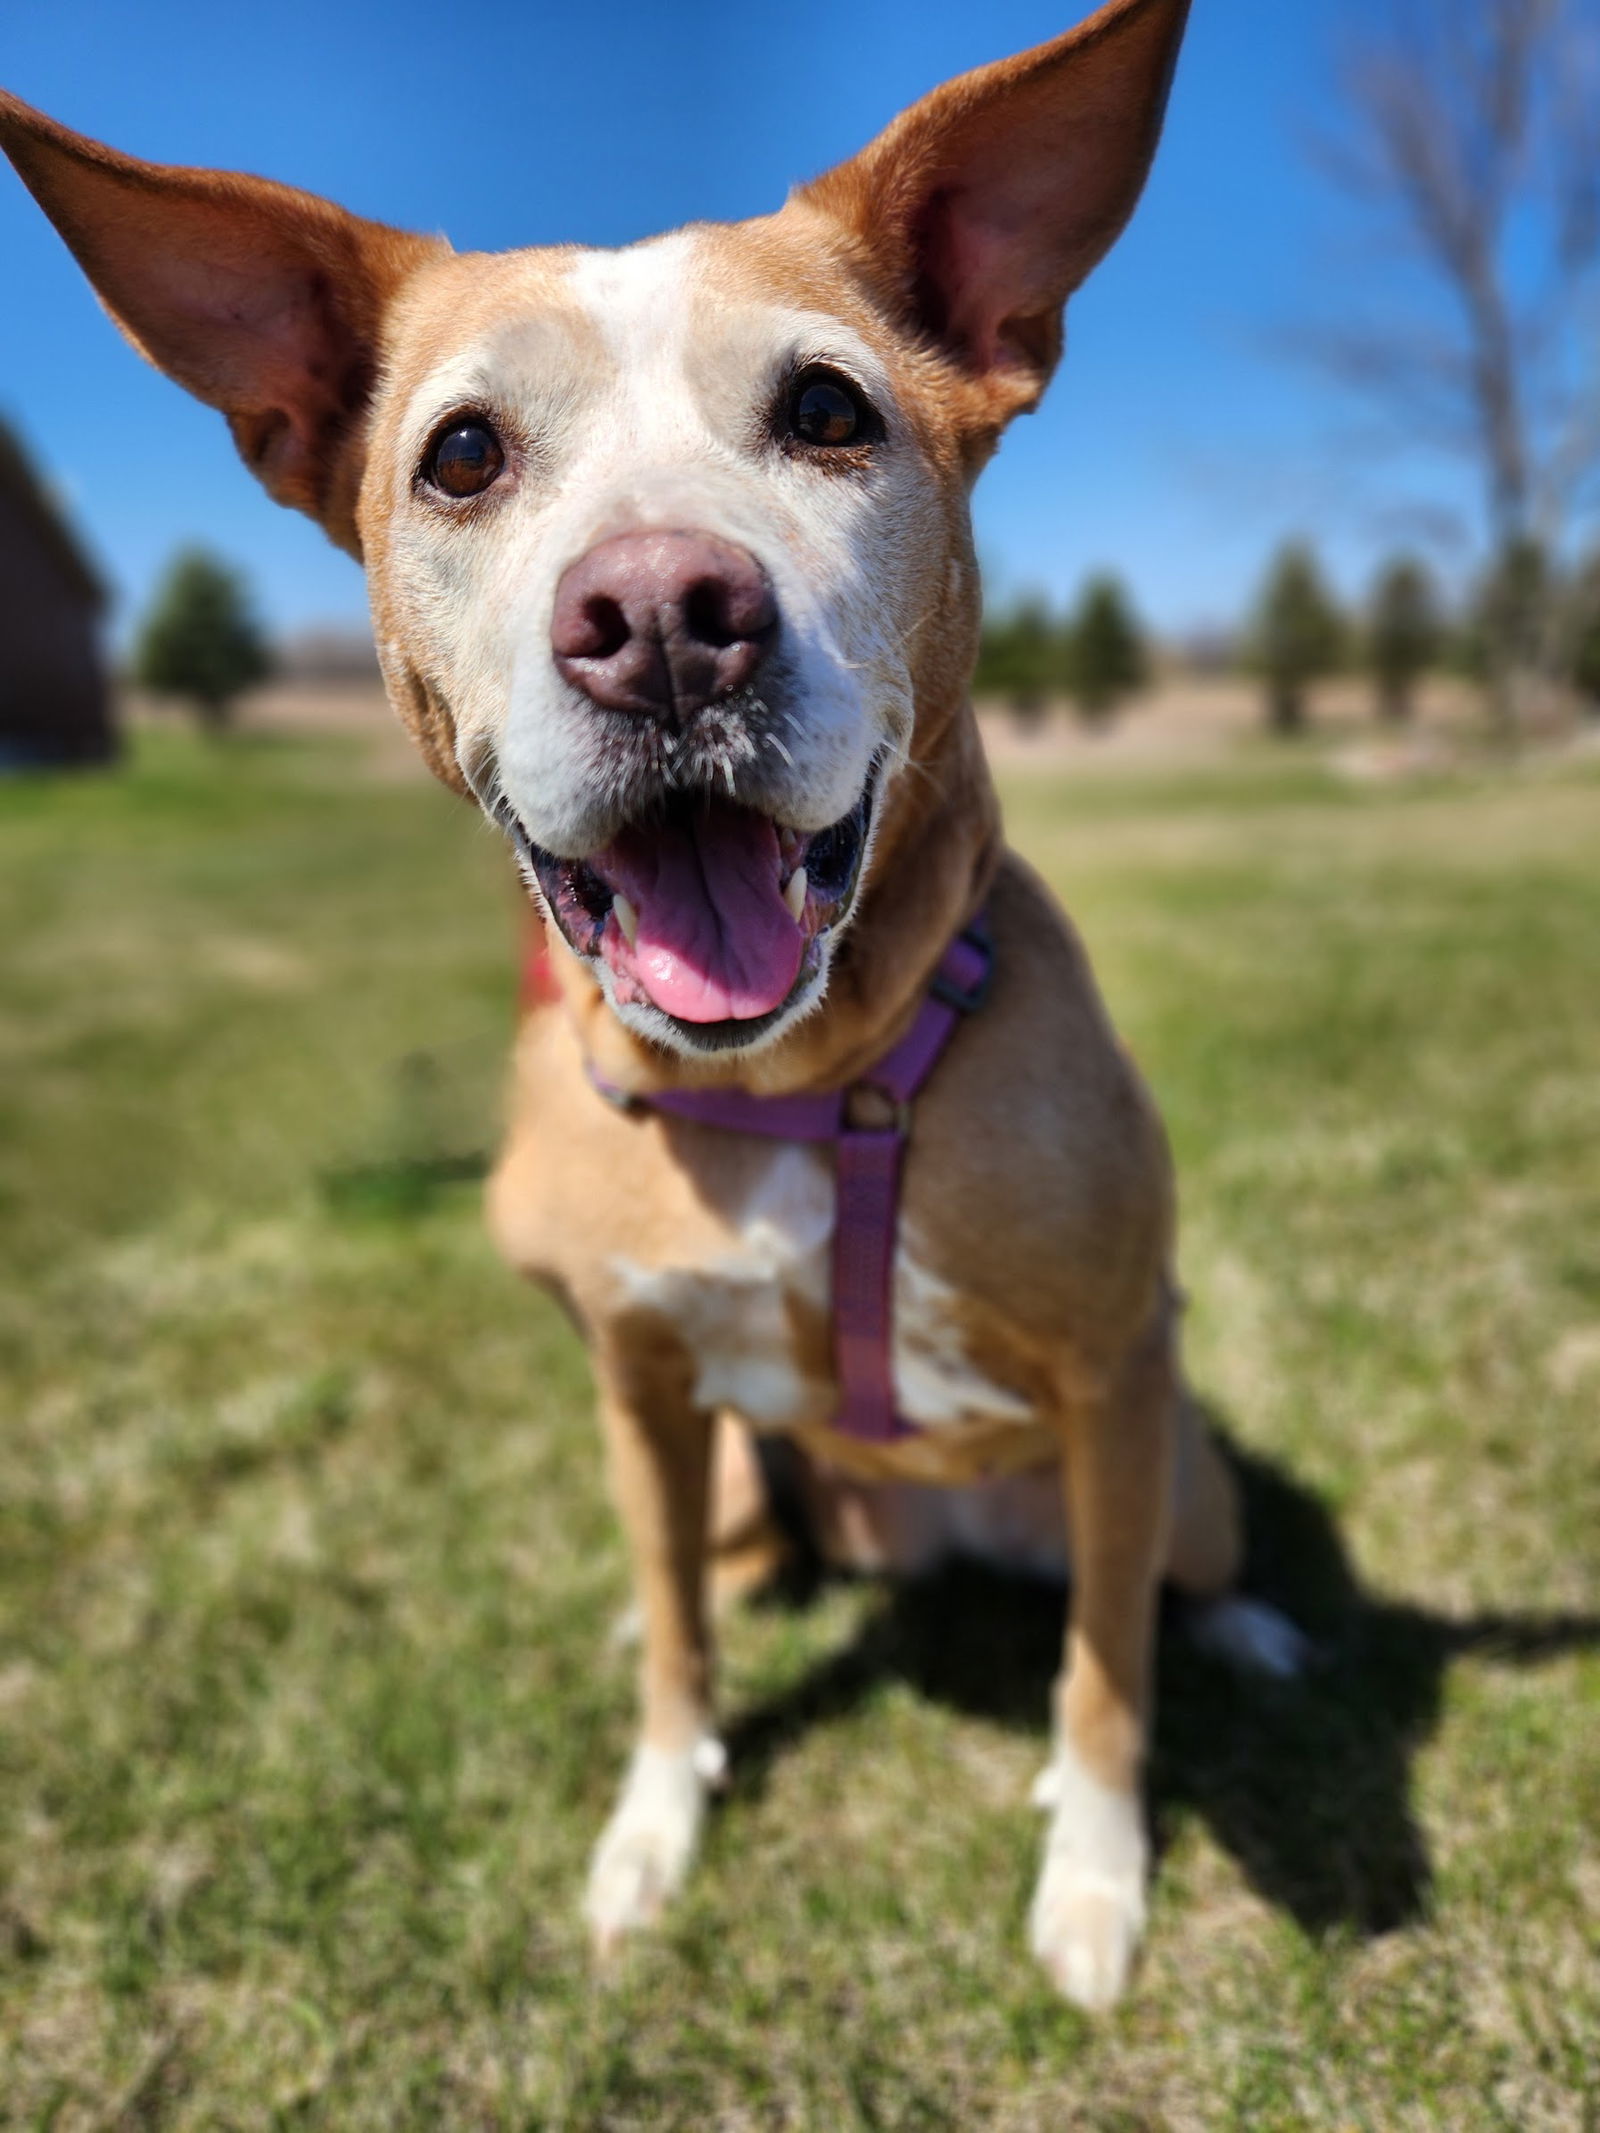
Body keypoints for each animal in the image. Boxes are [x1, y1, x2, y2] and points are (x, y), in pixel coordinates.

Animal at [0, 0, 1305, 2005]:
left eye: (830, 410)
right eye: (461, 454)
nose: (667, 616)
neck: (792, 1083)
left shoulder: (1112, 1368)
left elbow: (1105, 1673)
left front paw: (1094, 1879)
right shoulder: (633, 1379)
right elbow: (686, 1644)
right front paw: (651, 1821)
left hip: (1176, 1455)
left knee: (1165, 1574)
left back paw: (1244, 1633)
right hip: (751, 1461)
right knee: (728, 1559)